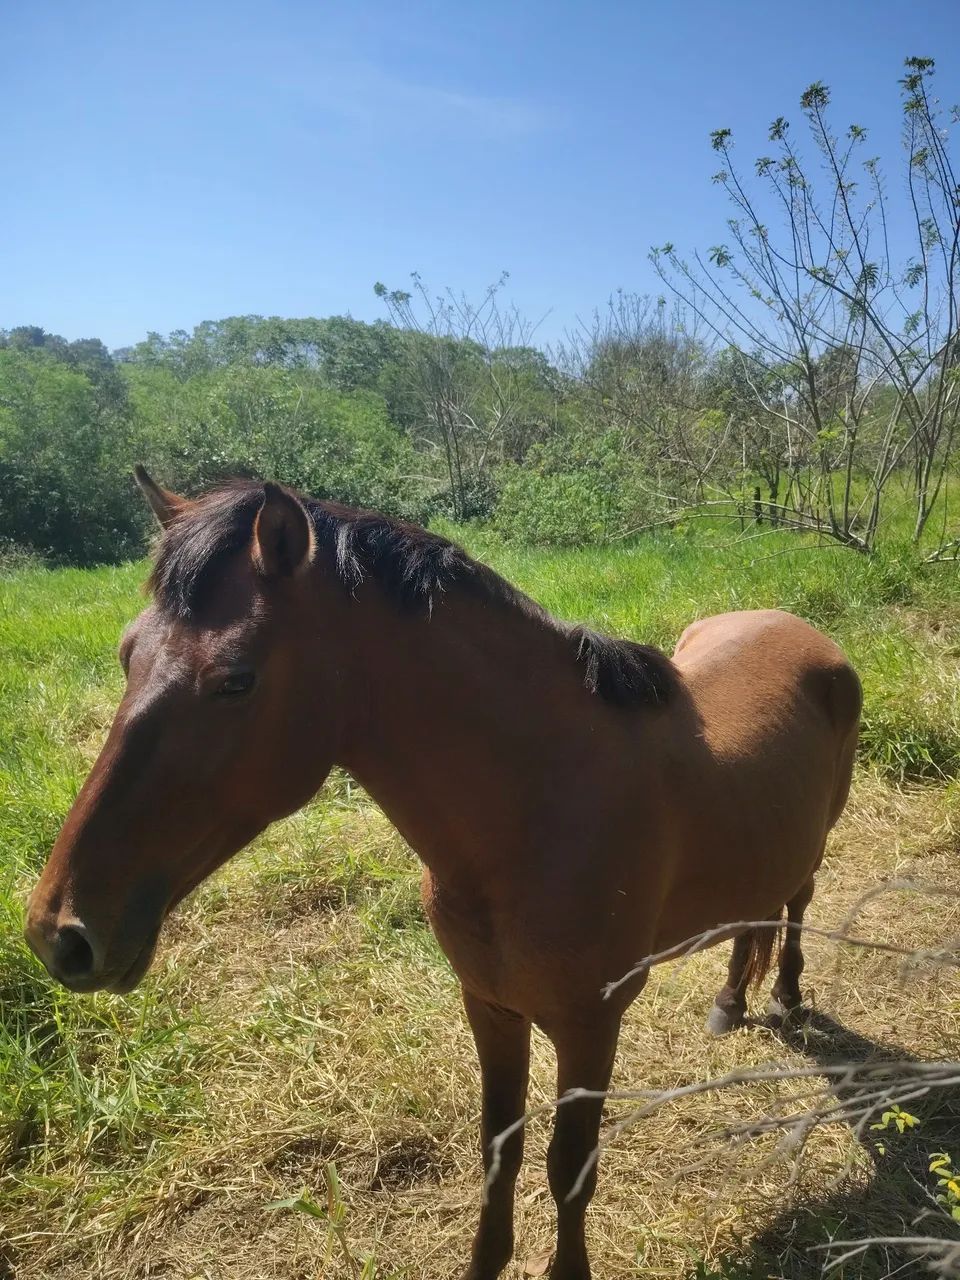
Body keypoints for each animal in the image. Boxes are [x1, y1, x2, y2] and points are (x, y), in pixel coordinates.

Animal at [25, 471, 861, 1280]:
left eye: (235, 679)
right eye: (128, 653)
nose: (59, 933)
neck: (539, 806)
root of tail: (800, 628)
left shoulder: (592, 1024)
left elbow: (570, 1169)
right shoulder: (489, 1005)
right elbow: (500, 1151)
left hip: (816, 845)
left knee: (797, 899)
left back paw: (783, 994)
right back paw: (730, 1000)